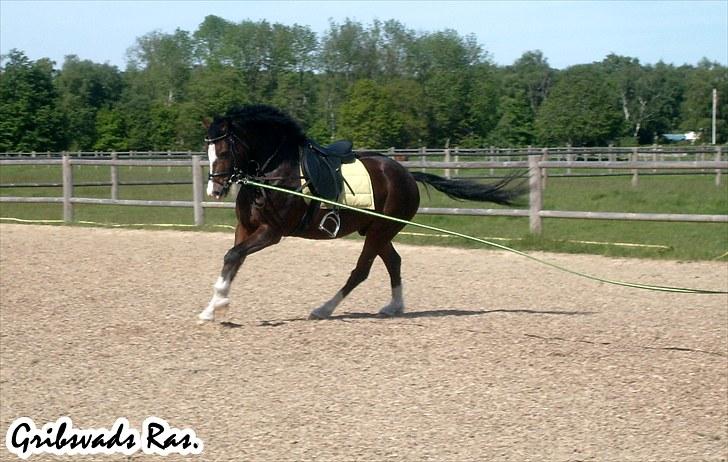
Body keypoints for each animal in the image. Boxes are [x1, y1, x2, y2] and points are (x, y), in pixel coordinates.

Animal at [196, 104, 524, 322]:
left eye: (223, 151)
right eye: (208, 152)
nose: (215, 191)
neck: (274, 172)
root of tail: (407, 174)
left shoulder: (271, 232)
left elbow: (233, 256)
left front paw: (217, 306)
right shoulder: (245, 228)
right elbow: (233, 259)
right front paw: (214, 307)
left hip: (380, 230)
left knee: (361, 271)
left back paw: (324, 309)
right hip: (378, 231)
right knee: (393, 261)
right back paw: (394, 307)